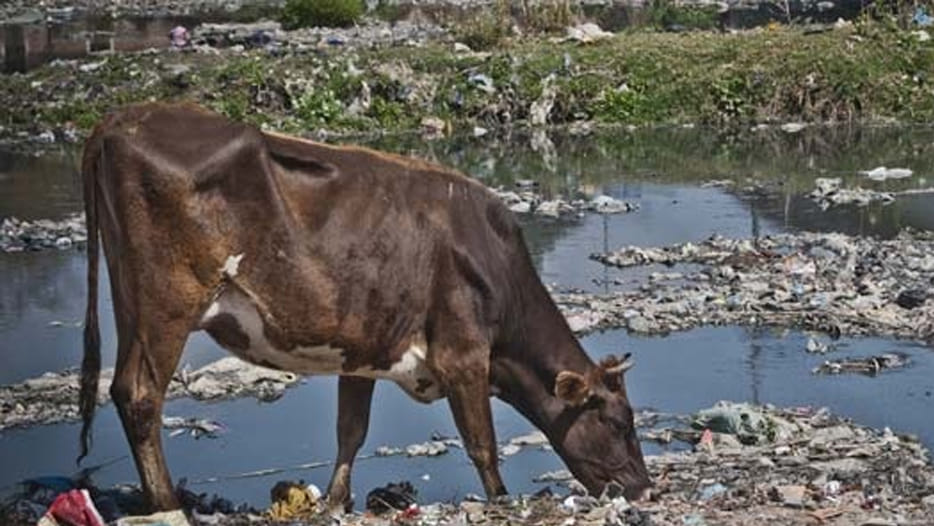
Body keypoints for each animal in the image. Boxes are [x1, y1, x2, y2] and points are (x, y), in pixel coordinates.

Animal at [77, 102, 650, 512]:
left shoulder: (363, 349)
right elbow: (481, 441)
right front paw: (502, 501)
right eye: (619, 422)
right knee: (141, 394)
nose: (645, 488)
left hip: (128, 300)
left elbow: (351, 432)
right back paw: (167, 503)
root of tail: (122, 118)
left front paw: (335, 501)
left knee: (122, 388)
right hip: (166, 302)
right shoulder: (464, 352)